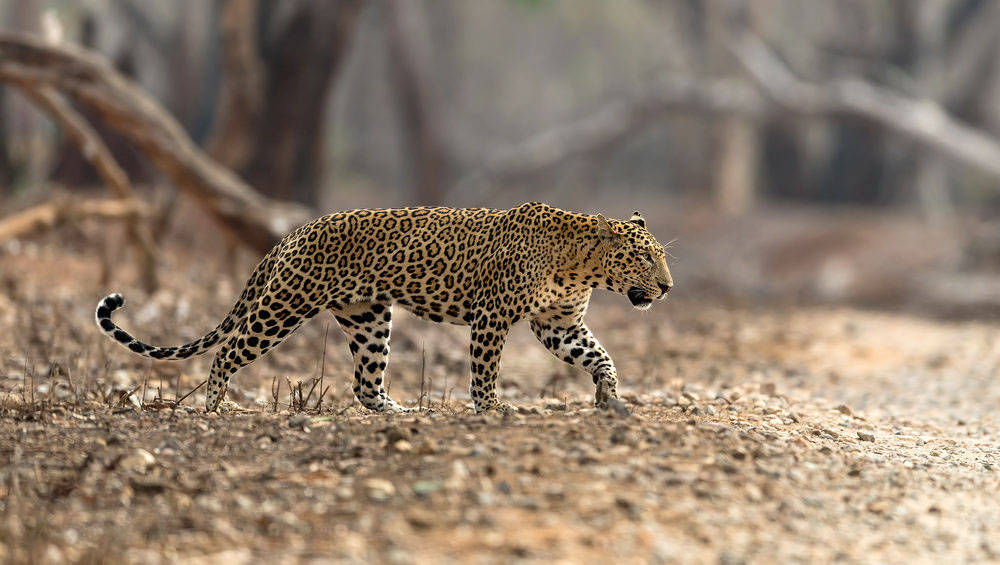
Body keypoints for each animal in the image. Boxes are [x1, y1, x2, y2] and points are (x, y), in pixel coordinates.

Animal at [95, 200, 672, 412]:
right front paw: (491, 408)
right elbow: (486, 371)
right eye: (644, 258)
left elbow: (600, 356)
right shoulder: (492, 318)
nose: (668, 288)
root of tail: (294, 232)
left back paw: (396, 410)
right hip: (286, 304)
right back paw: (214, 406)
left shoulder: (558, 326)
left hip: (369, 317)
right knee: (228, 350)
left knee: (364, 383)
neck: (580, 265)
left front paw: (610, 395)